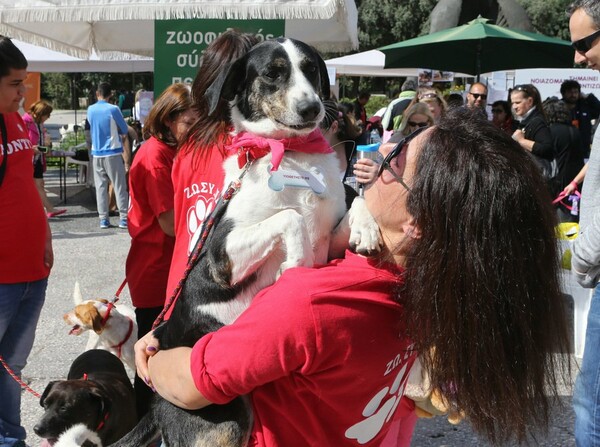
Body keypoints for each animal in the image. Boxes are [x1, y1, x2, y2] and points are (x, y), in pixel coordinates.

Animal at [112, 37, 380, 447]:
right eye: (272, 73)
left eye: (311, 69)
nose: (312, 108)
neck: (291, 155)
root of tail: (156, 407)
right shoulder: (221, 257)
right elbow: (289, 218)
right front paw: (294, 265)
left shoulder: (329, 239)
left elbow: (356, 200)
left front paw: (367, 229)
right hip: (226, 424)